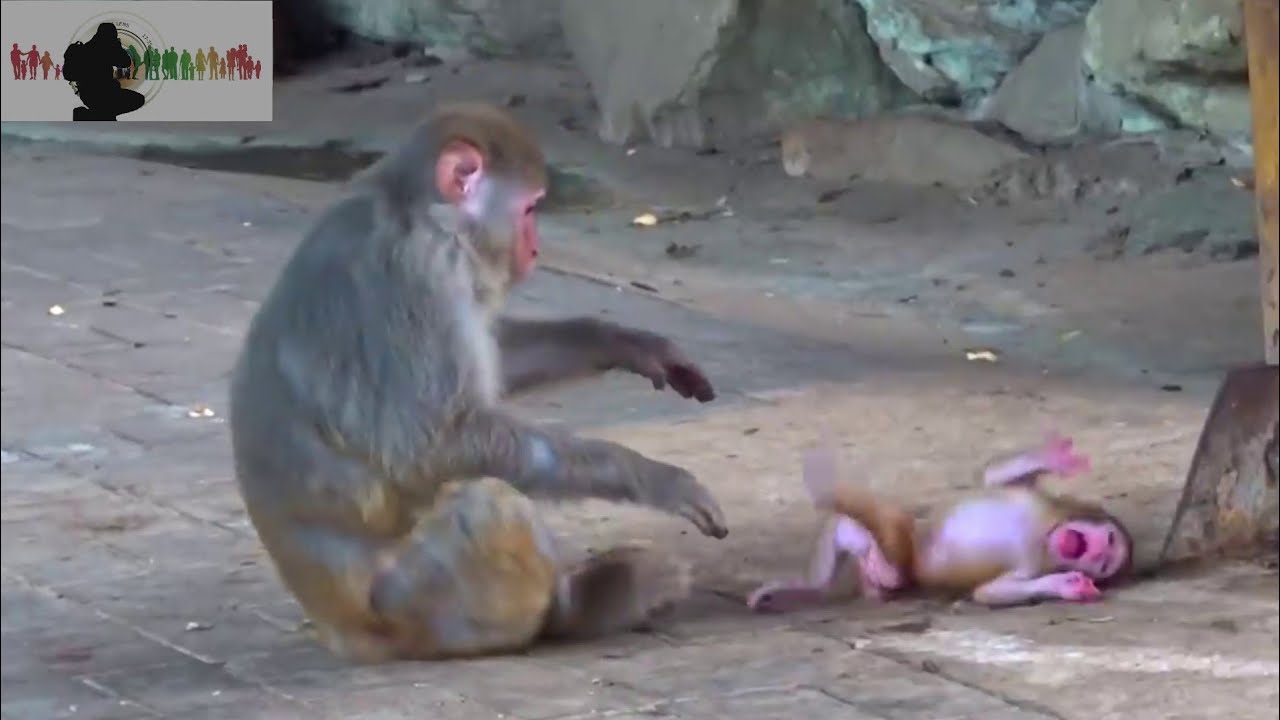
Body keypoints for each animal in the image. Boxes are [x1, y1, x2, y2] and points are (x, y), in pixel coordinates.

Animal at [228, 102, 729, 662]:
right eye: (529, 210)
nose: (535, 248)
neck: (418, 212)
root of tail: (341, 633)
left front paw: (622, 342)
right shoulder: (418, 273)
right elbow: (433, 444)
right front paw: (652, 476)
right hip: (418, 608)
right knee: (483, 500)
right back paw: (581, 608)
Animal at [746, 433, 1134, 611]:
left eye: (1103, 563)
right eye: (1107, 541)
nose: (1095, 549)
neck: (1044, 535)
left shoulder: (1029, 567)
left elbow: (989, 592)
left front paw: (1066, 585)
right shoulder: (1038, 502)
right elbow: (995, 478)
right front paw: (1054, 457)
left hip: (903, 561)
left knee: (883, 557)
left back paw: (872, 573)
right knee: (846, 530)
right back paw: (802, 583)